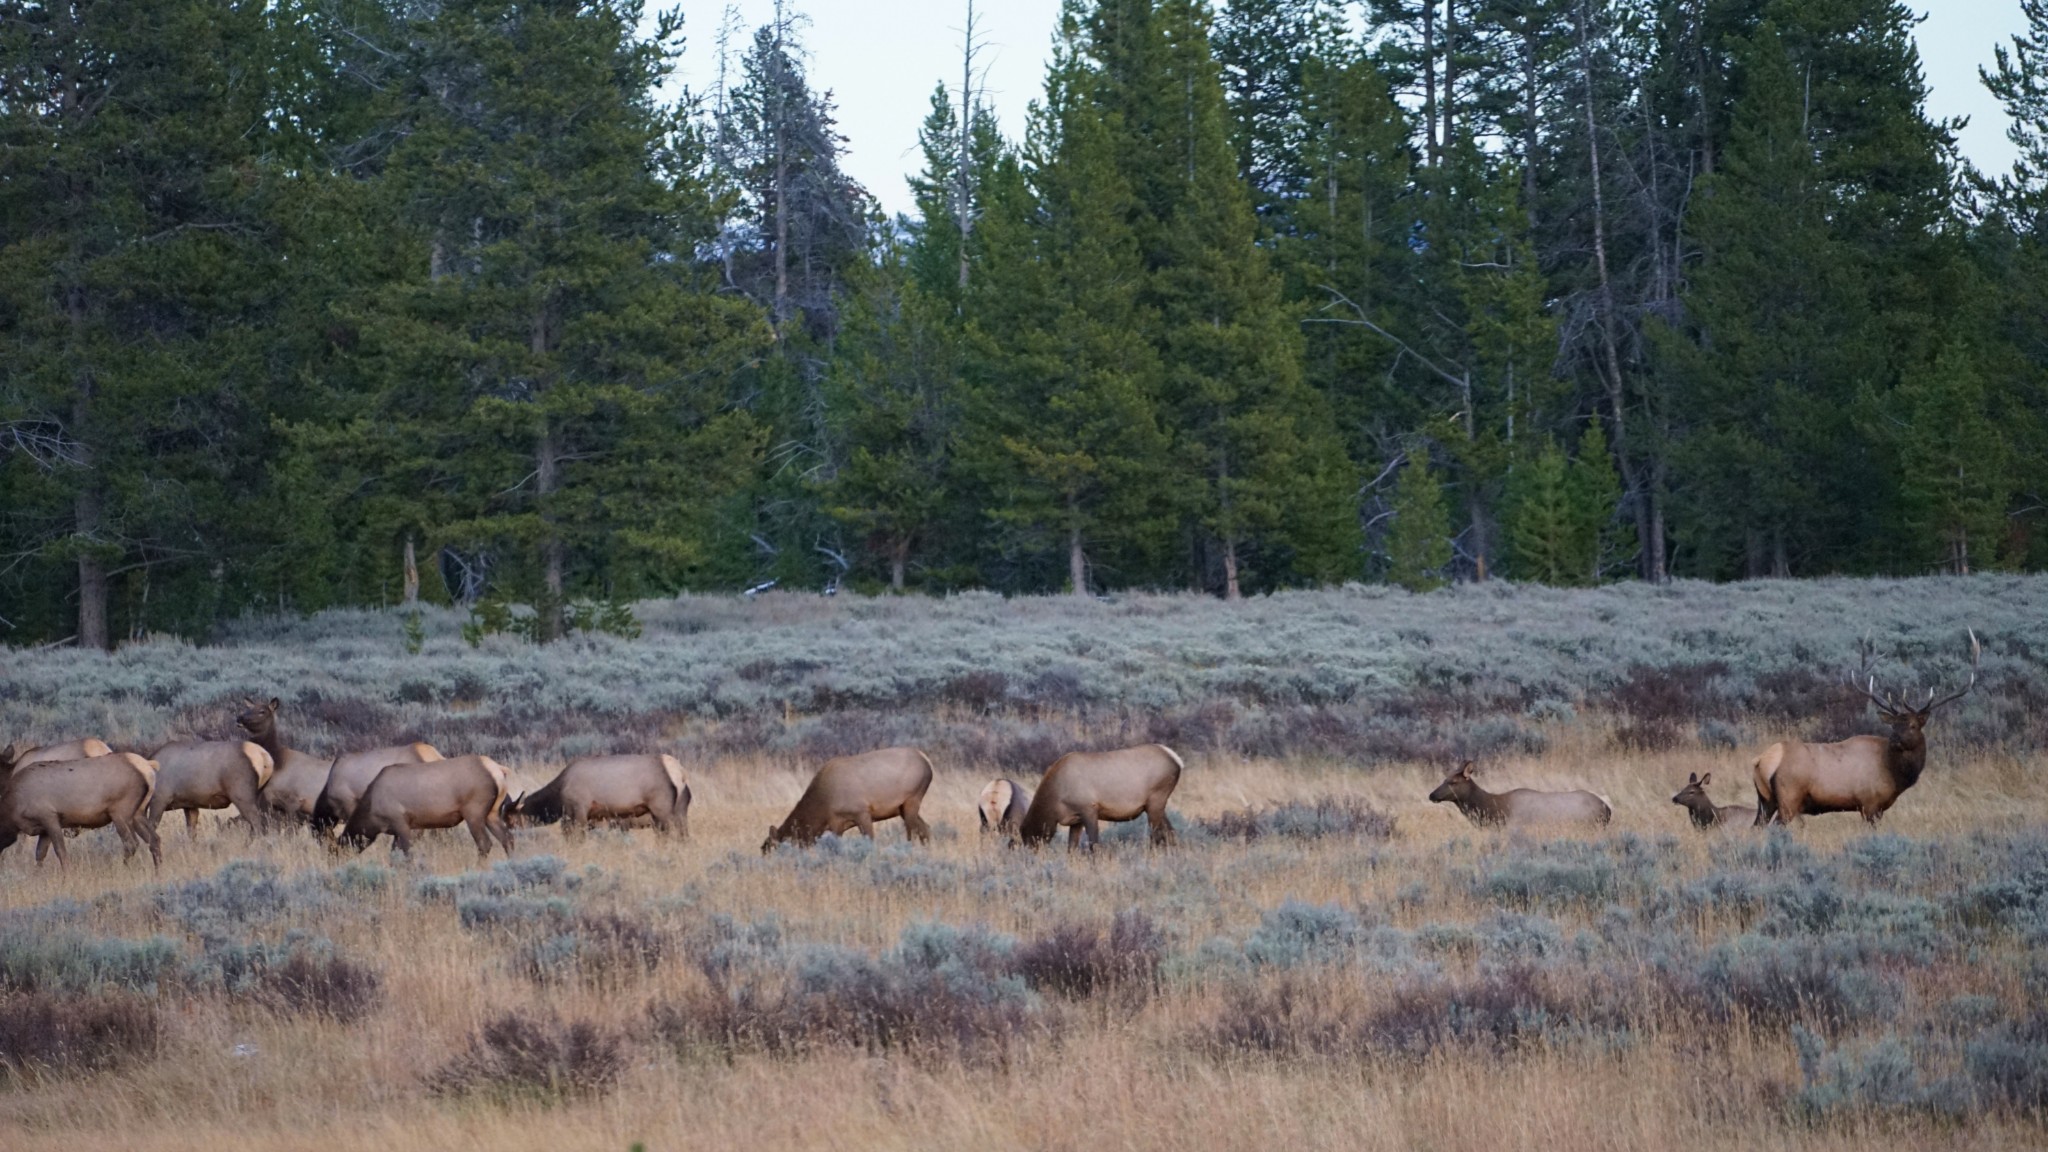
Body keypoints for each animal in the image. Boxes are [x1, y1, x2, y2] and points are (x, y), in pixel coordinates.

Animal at [342, 750, 512, 856]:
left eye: (343, 845)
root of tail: (498, 770)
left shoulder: (401, 823)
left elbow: (407, 853)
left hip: (473, 812)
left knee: (485, 844)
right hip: (492, 813)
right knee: (507, 838)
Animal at [1011, 737, 1179, 848]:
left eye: (1029, 840)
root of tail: (1177, 760)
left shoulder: (1089, 809)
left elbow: (1093, 845)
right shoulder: (1076, 820)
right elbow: (1071, 848)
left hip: (1155, 801)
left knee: (1158, 835)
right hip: (1153, 805)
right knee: (1170, 832)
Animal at [1753, 627, 1974, 824]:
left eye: (1912, 725)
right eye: (1894, 726)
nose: (1896, 740)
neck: (1895, 774)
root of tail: (1762, 760)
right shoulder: (1870, 804)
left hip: (1765, 801)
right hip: (1789, 799)